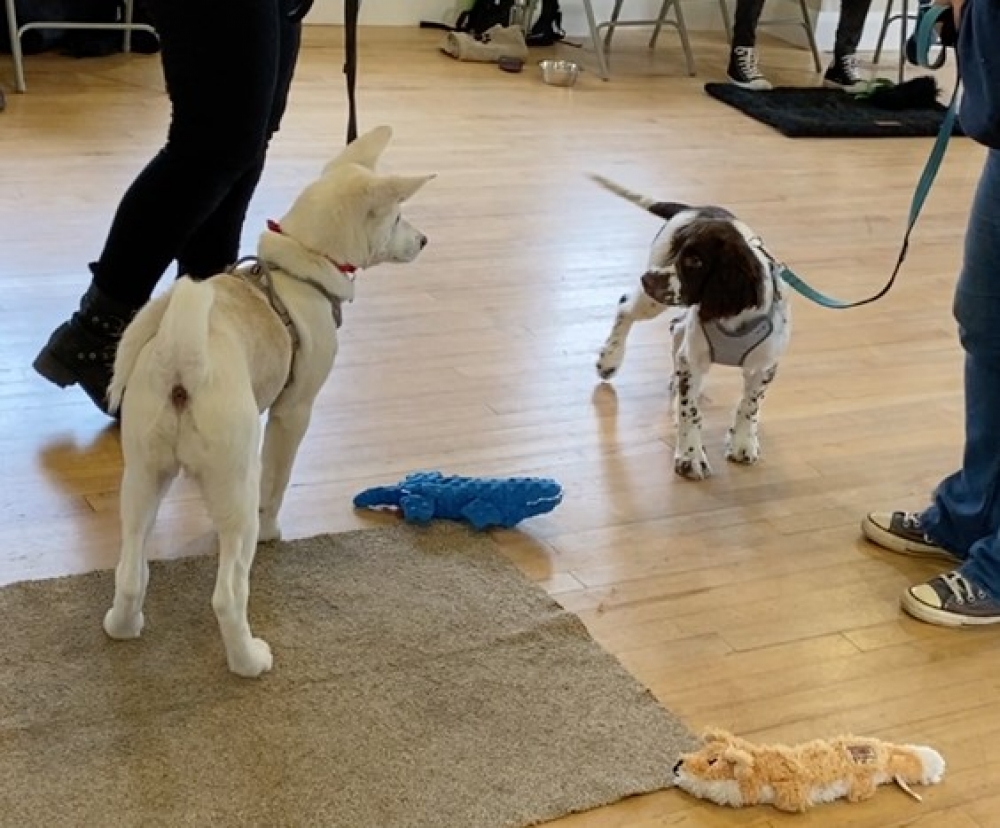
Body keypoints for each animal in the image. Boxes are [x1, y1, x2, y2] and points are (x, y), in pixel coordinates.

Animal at [102, 126, 434, 676]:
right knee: (228, 593)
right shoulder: (293, 412)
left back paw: (123, 627)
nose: (426, 240)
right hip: (235, 484)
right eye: (399, 217)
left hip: (143, 478)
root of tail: (182, 361)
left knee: (131, 572)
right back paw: (249, 660)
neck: (301, 266)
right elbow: (278, 481)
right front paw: (275, 528)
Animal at [588, 178, 792, 482]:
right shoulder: (693, 359)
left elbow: (750, 404)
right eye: (676, 251)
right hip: (654, 301)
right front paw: (690, 456)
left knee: (675, 328)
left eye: (695, 261)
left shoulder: (763, 366)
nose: (647, 279)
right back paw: (609, 361)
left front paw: (743, 443)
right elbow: (690, 410)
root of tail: (691, 208)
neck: (733, 319)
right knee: (626, 307)